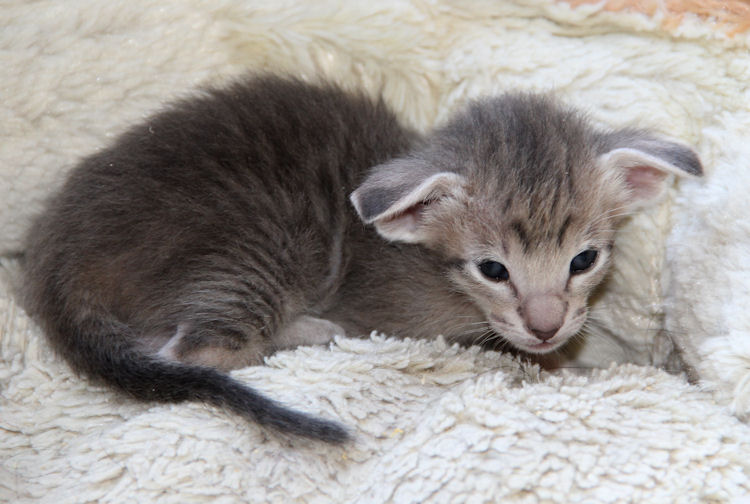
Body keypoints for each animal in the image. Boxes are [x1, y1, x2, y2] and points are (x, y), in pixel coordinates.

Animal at [21, 74, 702, 443]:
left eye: (583, 259)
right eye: (493, 270)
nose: (545, 325)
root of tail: (56, 261)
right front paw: (591, 370)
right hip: (264, 249)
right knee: (197, 353)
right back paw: (312, 332)